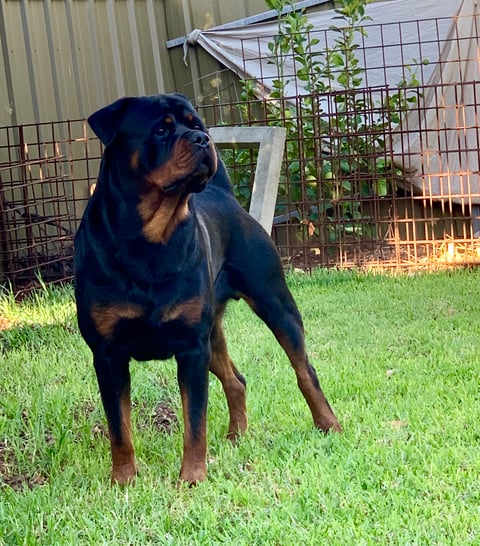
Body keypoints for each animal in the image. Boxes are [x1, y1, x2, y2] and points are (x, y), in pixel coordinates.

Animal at [75, 93, 342, 484]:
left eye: (195, 125)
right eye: (161, 131)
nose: (203, 139)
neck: (148, 240)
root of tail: (224, 195)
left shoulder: (191, 348)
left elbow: (195, 422)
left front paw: (192, 477)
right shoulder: (108, 355)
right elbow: (119, 428)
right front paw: (123, 481)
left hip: (274, 304)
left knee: (304, 370)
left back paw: (328, 424)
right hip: (212, 336)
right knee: (236, 380)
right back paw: (236, 437)